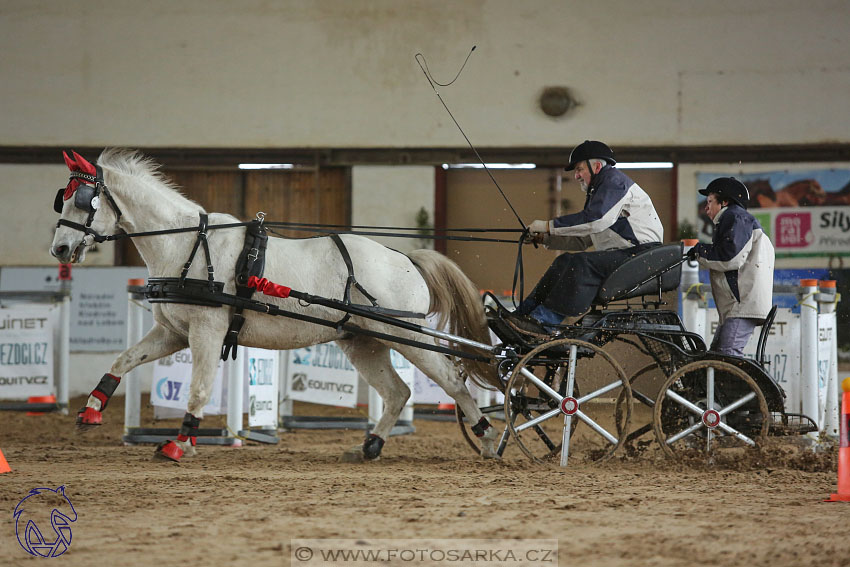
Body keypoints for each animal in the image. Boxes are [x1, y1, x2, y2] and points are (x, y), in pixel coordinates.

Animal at [49, 150, 500, 462]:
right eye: (62, 199)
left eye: (84, 200)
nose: (60, 249)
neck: (186, 244)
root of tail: (405, 258)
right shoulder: (173, 332)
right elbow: (123, 360)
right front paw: (91, 412)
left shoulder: (207, 330)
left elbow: (198, 387)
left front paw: (180, 443)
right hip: (363, 341)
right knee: (397, 392)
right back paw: (369, 446)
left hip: (406, 336)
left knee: (452, 382)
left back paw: (489, 437)